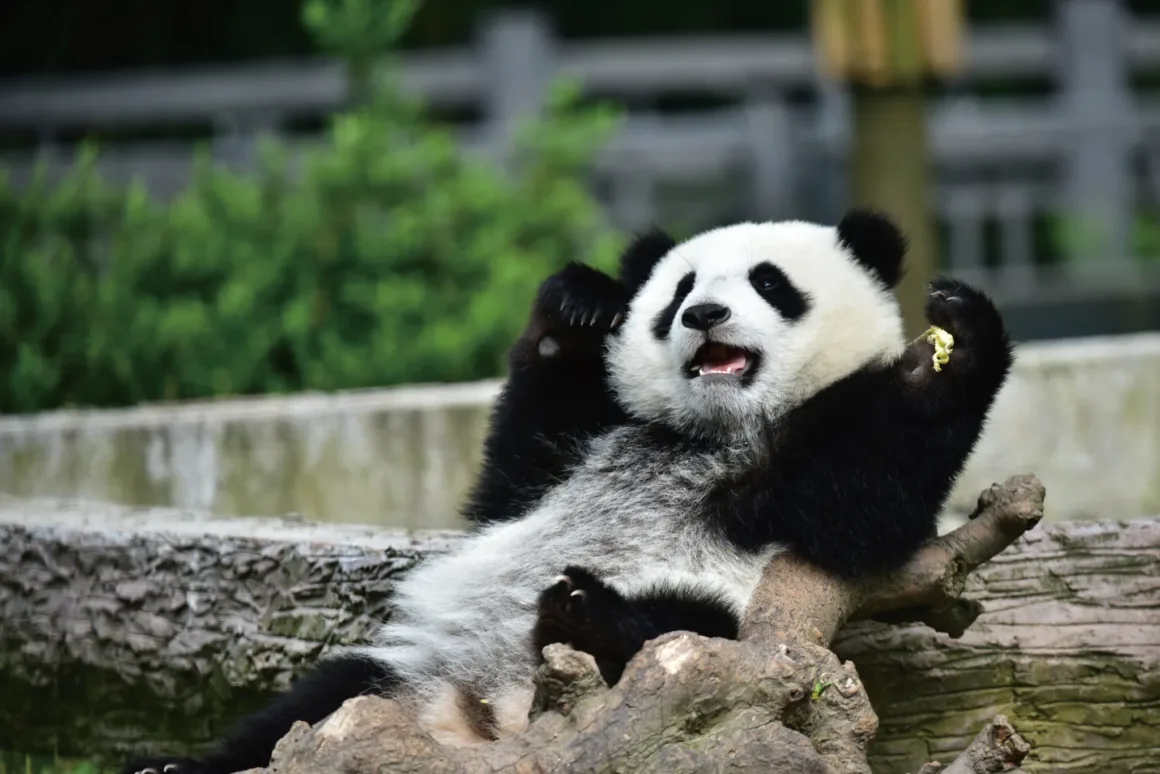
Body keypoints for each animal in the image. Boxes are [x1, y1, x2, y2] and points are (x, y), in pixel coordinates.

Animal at [124, 209, 1013, 774]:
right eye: (678, 289)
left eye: (770, 282)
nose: (705, 314)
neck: (712, 432)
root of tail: (491, 724)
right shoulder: (574, 448)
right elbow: (513, 471)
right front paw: (582, 303)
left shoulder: (803, 493)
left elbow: (867, 501)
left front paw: (958, 343)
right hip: (397, 685)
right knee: (307, 710)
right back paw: (167, 768)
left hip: (717, 624)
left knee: (679, 632)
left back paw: (589, 615)